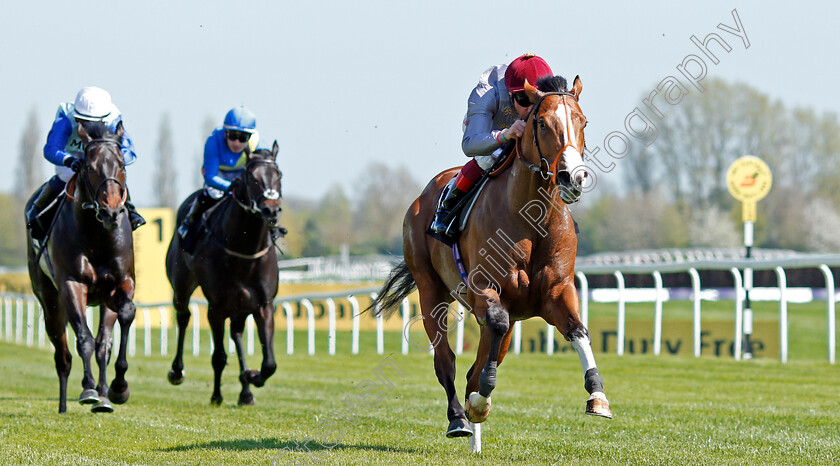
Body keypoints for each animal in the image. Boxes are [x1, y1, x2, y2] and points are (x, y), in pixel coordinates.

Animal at [26, 121, 136, 416]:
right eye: (89, 166)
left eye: (122, 163)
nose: (111, 212)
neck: (97, 235)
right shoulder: (71, 284)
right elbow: (84, 339)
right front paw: (88, 390)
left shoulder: (121, 283)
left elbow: (120, 322)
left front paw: (118, 388)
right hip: (49, 299)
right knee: (62, 355)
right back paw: (65, 404)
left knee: (101, 345)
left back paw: (104, 395)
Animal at [166, 144, 284, 406]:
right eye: (252, 177)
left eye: (279, 175)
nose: (270, 209)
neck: (244, 250)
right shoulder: (216, 307)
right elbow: (218, 356)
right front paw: (217, 395)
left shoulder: (263, 304)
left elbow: (270, 363)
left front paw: (251, 377)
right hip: (182, 285)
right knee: (184, 316)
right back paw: (177, 371)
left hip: (241, 306)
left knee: (237, 333)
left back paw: (246, 391)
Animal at [372, 76, 612, 436]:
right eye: (542, 123)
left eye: (582, 122)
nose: (574, 177)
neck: (531, 220)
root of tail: (424, 194)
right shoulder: (484, 288)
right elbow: (490, 336)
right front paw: (479, 403)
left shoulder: (556, 292)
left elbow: (578, 330)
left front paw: (597, 396)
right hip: (430, 290)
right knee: (445, 360)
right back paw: (459, 417)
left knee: (481, 360)